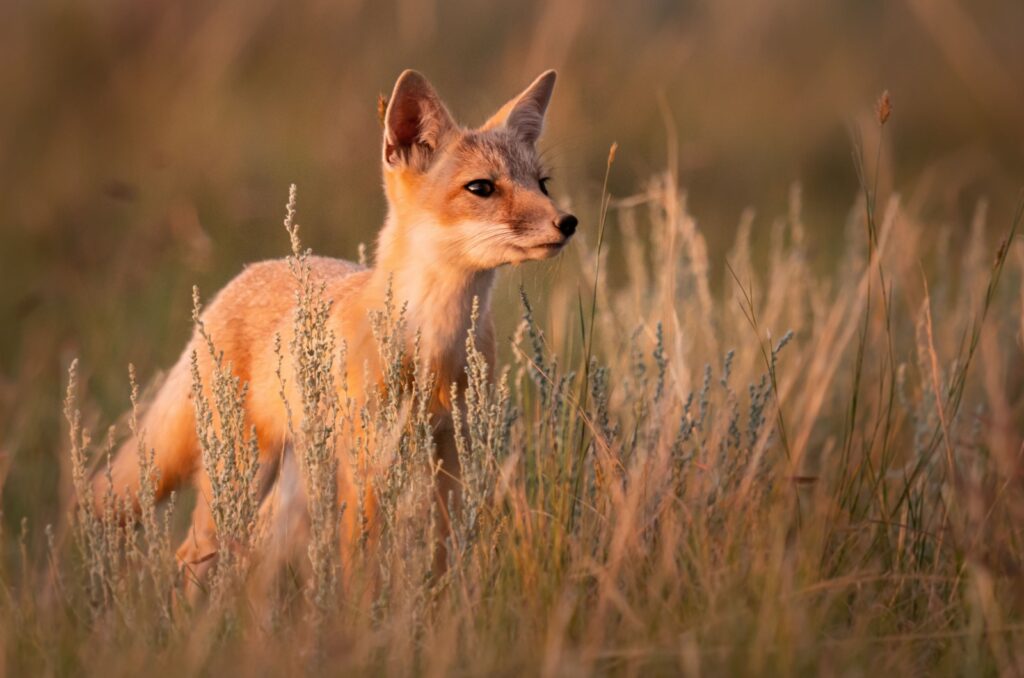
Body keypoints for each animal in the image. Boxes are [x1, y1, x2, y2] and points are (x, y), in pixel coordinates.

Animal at [95, 70, 577, 589]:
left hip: (292, 485)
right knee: (192, 554)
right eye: (482, 188)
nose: (568, 222)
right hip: (243, 475)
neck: (432, 350)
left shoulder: (452, 457)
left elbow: (440, 561)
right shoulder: (367, 462)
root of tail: (245, 274)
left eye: (542, 183)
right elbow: (359, 570)